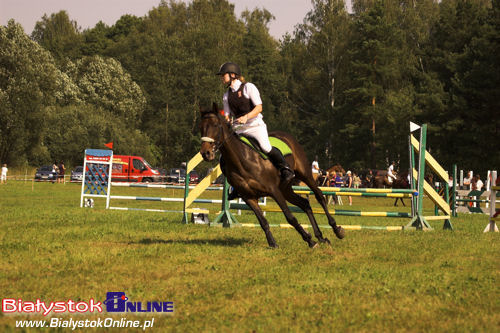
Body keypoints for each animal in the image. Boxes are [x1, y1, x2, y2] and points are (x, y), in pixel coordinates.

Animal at [198, 102, 344, 248]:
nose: (205, 153)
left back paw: (336, 230)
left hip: (304, 175)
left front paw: (310, 240)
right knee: (305, 204)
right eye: (201, 128)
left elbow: (290, 217)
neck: (242, 160)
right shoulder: (248, 197)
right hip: (285, 189)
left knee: (319, 196)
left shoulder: (274, 191)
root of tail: (287, 136)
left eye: (216, 125)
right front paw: (273, 243)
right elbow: (263, 221)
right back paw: (320, 237)